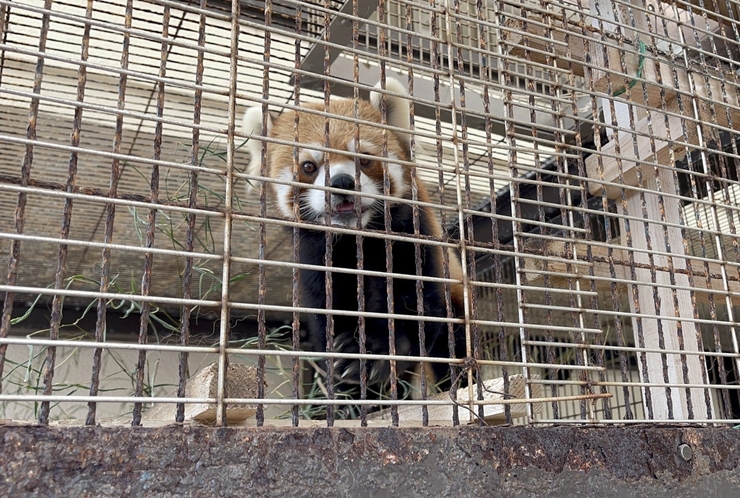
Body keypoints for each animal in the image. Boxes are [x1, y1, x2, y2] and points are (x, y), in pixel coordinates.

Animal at [246, 79, 466, 400]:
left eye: (364, 160)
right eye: (309, 167)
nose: (341, 183)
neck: (355, 241)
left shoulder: (413, 242)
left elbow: (420, 307)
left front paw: (380, 351)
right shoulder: (315, 260)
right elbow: (328, 317)